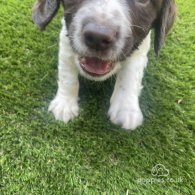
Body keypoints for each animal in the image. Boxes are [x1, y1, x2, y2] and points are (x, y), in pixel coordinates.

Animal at [32, 0, 177, 130]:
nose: (97, 37)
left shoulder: (140, 46)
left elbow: (131, 74)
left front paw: (126, 109)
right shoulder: (67, 36)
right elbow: (67, 75)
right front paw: (64, 104)